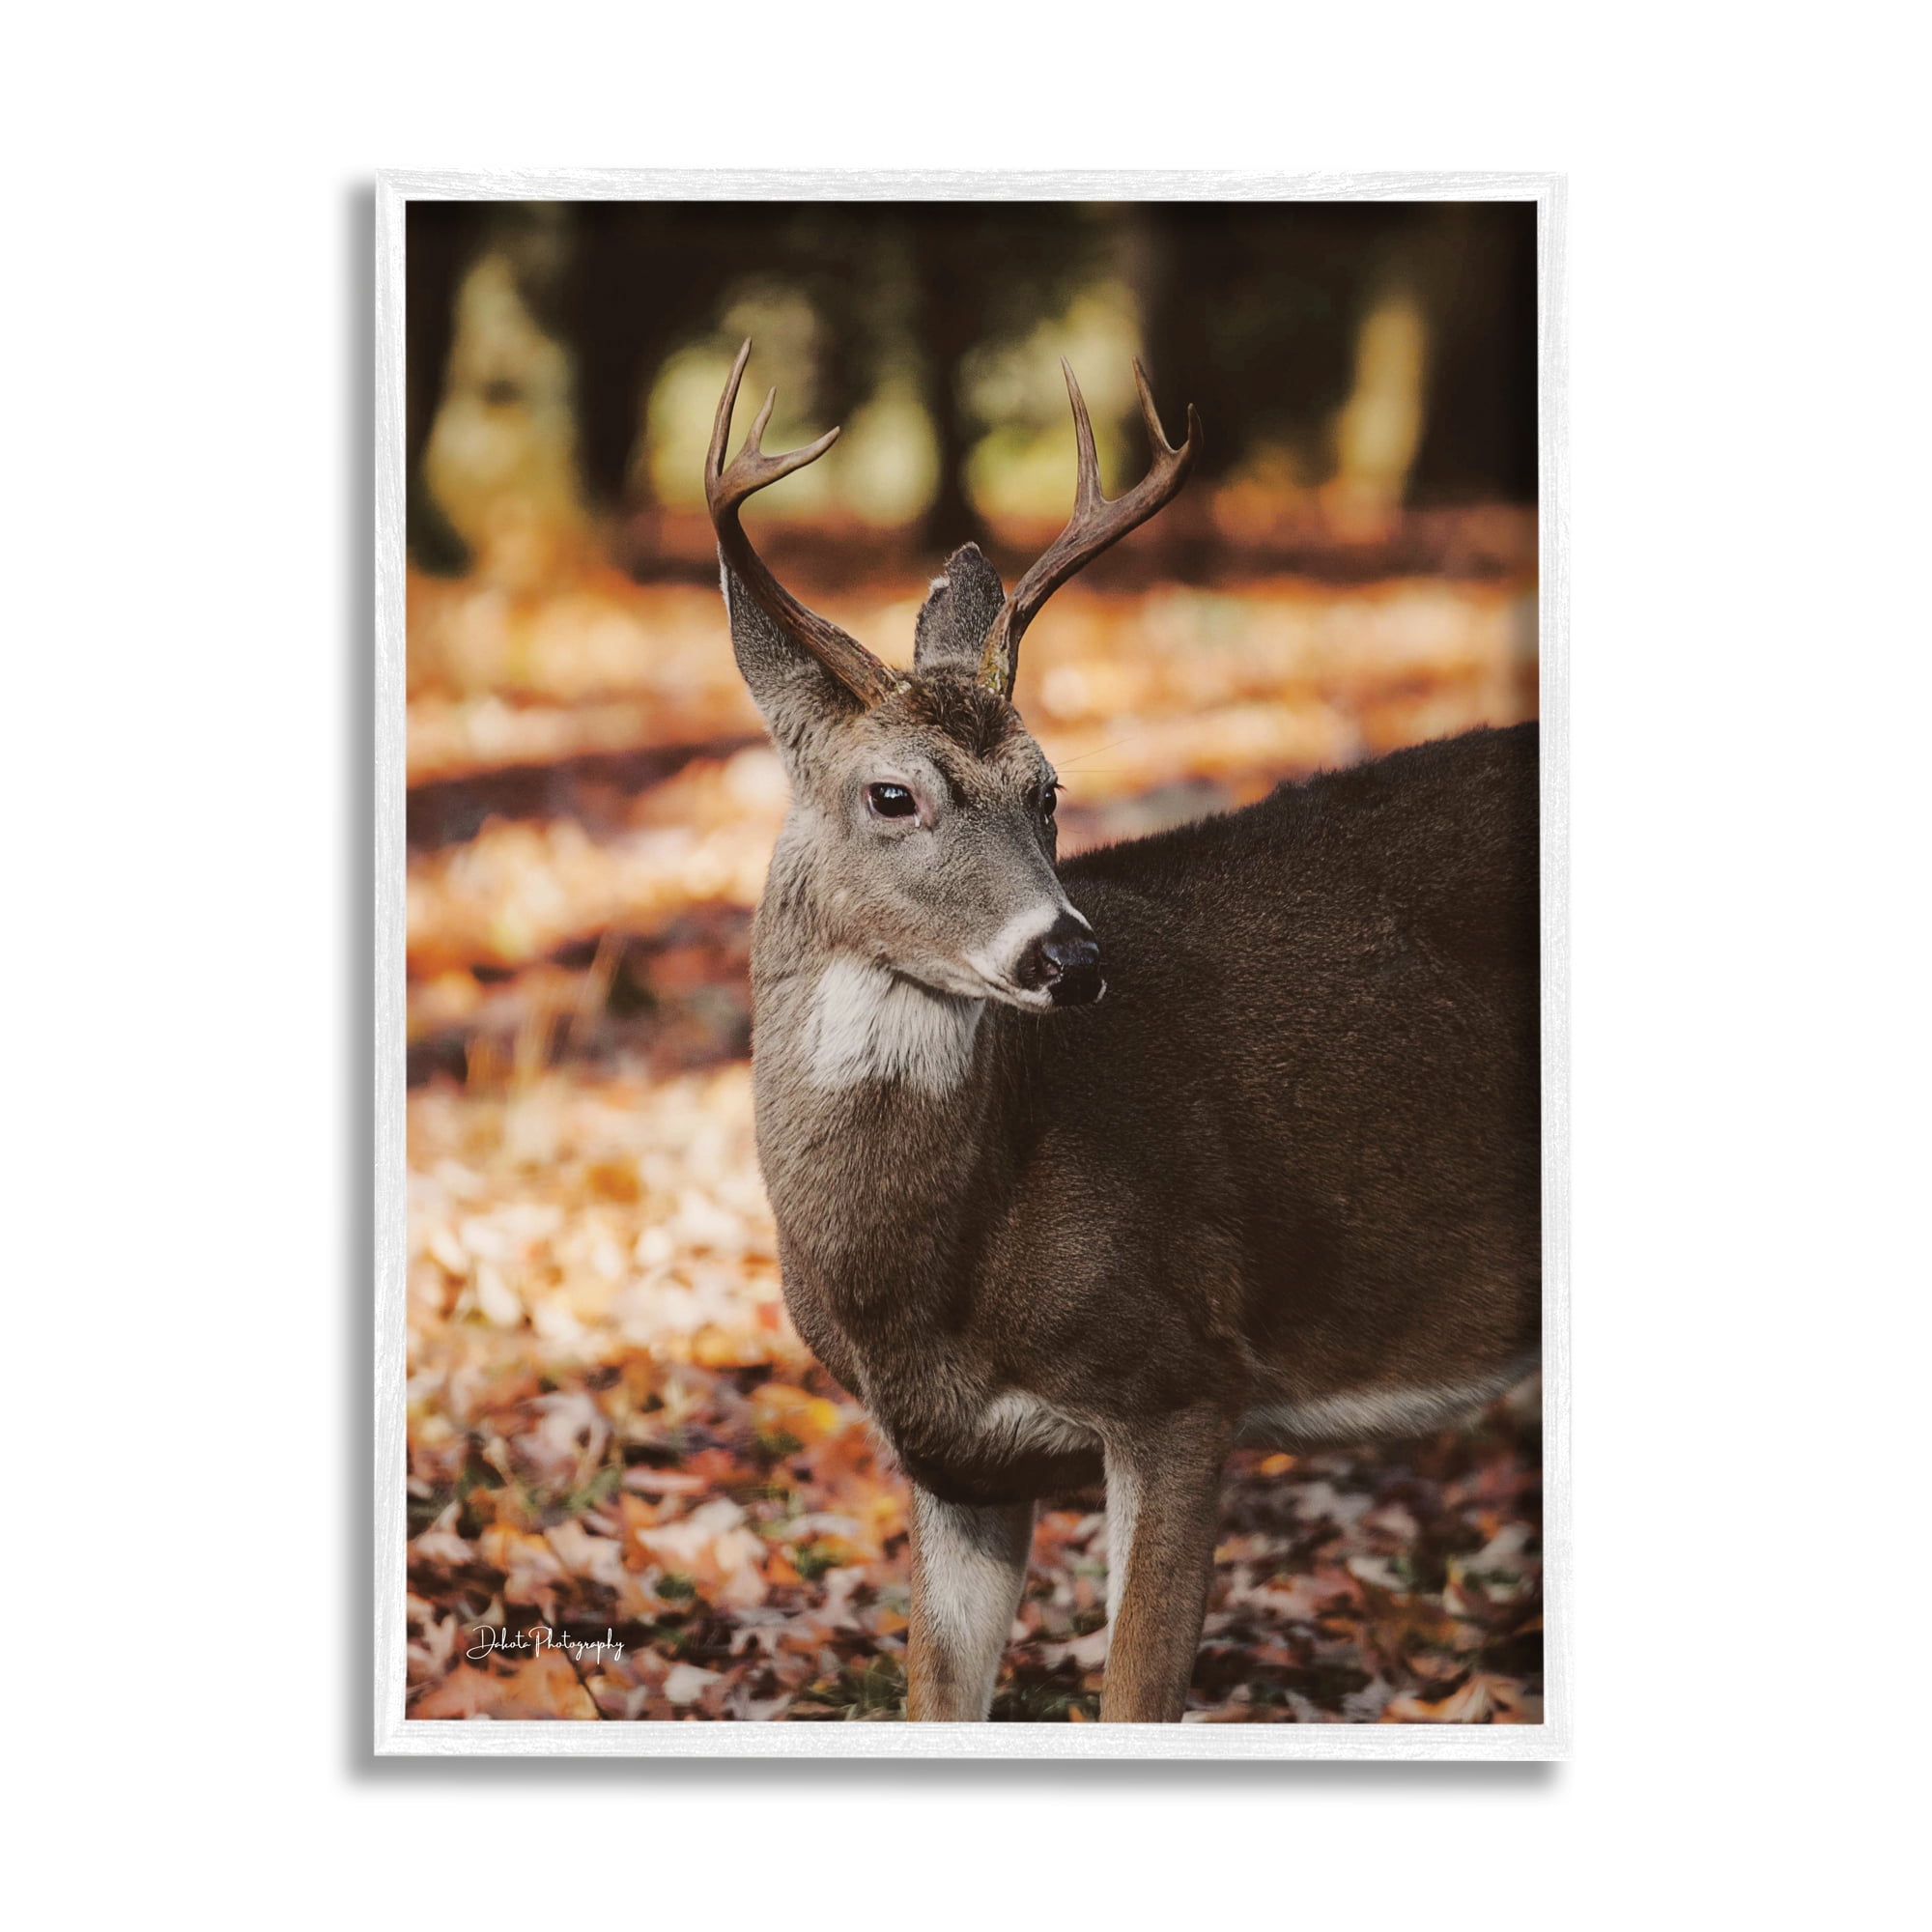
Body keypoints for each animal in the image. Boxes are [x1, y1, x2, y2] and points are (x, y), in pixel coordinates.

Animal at [705, 340, 1540, 1722]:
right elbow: (936, 1700)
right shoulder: (954, 1464)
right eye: (892, 793)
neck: (928, 1283)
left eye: (1049, 790)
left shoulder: (1185, 1376)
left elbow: (1135, 1692)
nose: (1072, 957)